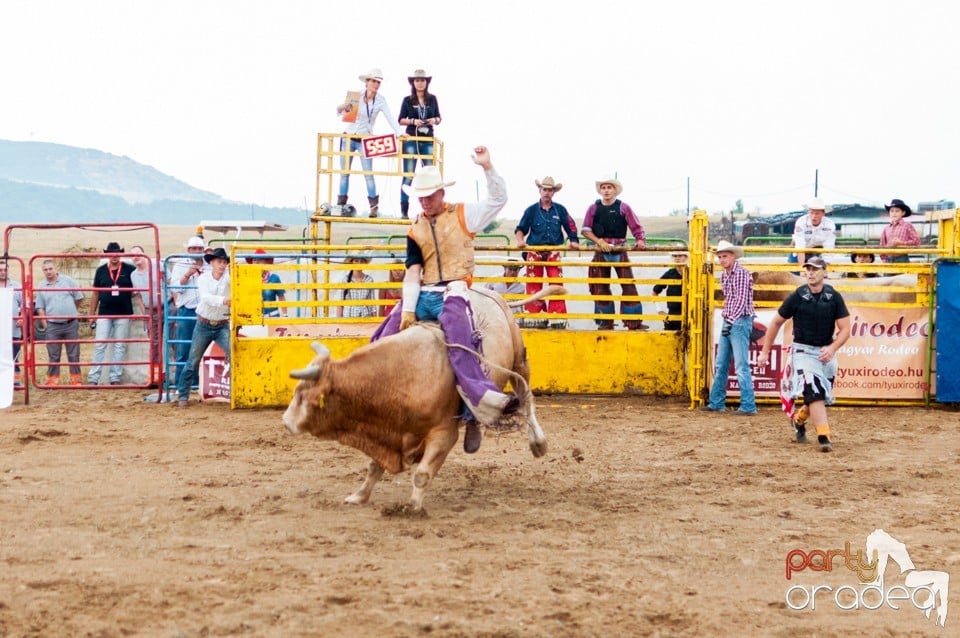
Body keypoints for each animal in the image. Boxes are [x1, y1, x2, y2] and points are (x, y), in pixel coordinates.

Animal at [282, 288, 556, 512]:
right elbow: (374, 466)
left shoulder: (444, 434)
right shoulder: (385, 431)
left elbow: (422, 473)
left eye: (304, 395)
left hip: (519, 360)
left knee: (526, 396)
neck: (402, 376)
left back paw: (538, 442)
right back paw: (474, 437)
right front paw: (359, 496)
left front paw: (412, 506)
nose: (286, 421)